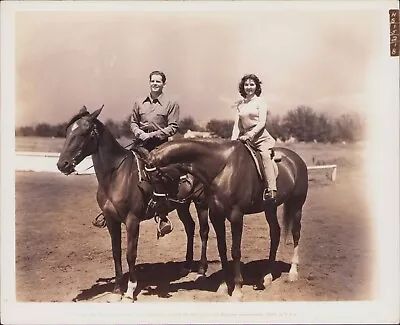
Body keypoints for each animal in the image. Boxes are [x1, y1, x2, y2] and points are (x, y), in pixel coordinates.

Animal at [57, 107, 211, 302]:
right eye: (68, 131)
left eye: (84, 132)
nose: (62, 165)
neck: (116, 176)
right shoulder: (112, 221)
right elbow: (116, 253)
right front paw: (116, 290)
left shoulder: (132, 220)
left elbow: (131, 254)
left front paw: (130, 290)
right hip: (182, 205)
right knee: (190, 228)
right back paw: (186, 266)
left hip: (201, 202)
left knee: (203, 231)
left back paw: (201, 270)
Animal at [145, 137, 310, 298]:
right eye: (148, 179)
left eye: (158, 178)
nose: (154, 205)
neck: (221, 169)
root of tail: (296, 159)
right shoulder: (216, 215)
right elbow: (222, 248)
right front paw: (223, 286)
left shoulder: (236, 216)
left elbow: (235, 251)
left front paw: (237, 289)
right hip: (270, 208)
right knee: (275, 233)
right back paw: (267, 276)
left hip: (297, 204)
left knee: (296, 233)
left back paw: (293, 272)